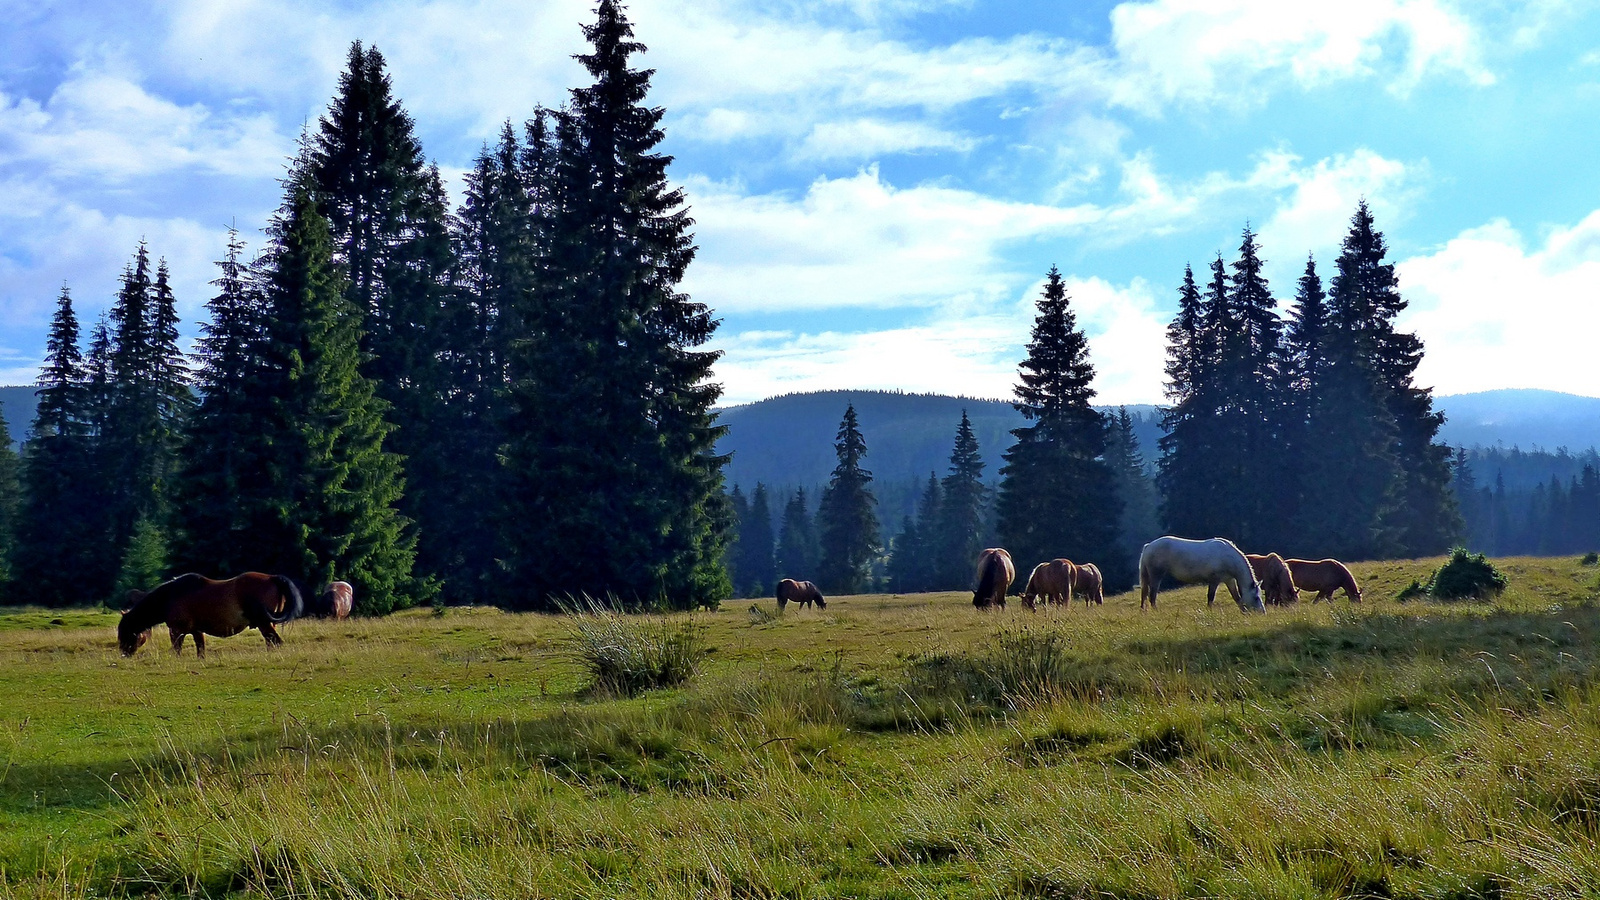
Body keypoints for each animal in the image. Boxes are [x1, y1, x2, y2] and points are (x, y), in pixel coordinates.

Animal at [118, 570, 302, 656]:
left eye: (125, 631)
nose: (123, 654)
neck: (170, 596)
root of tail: (272, 578)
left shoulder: (176, 630)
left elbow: (177, 649)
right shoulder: (196, 631)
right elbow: (201, 650)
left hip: (264, 623)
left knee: (275, 641)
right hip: (268, 624)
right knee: (271, 642)